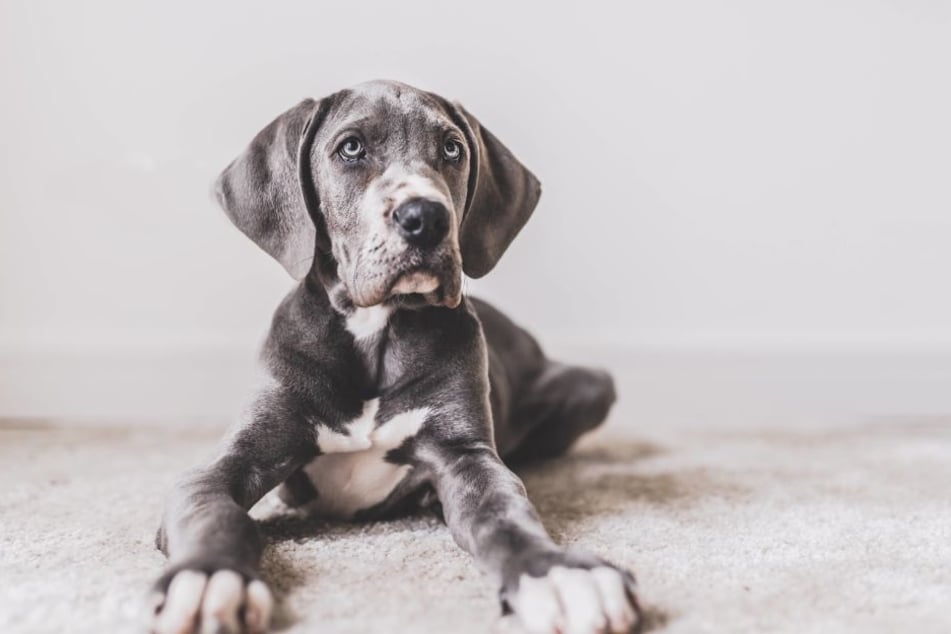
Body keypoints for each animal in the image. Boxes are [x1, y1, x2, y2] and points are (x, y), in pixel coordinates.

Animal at [149, 80, 640, 632]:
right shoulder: (232, 460)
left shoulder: (465, 455)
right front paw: (209, 577)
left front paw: (555, 572)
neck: (375, 332)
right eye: (351, 148)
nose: (425, 216)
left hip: (592, 384)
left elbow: (506, 514)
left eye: (452, 148)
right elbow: (216, 513)